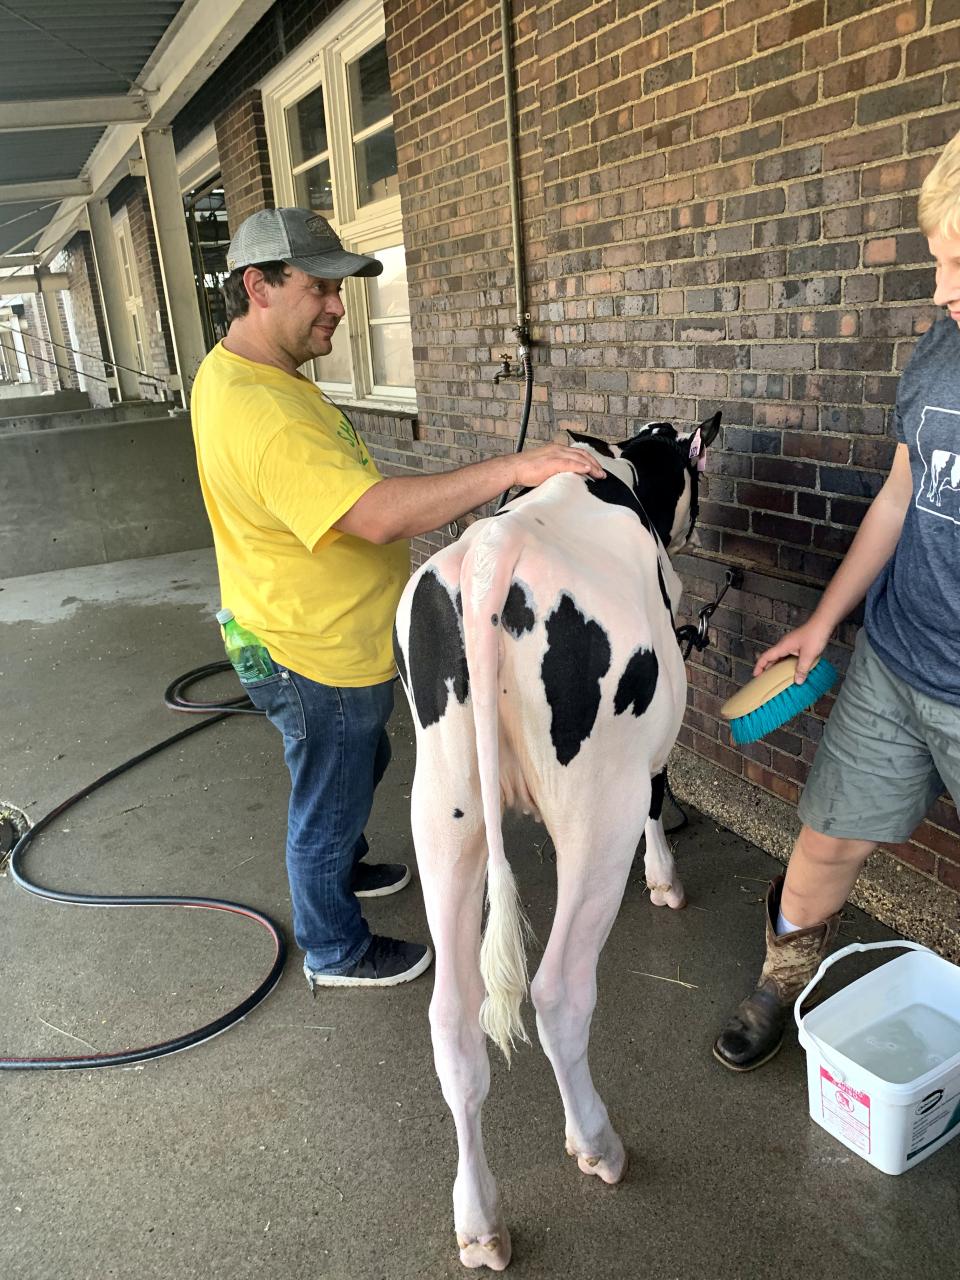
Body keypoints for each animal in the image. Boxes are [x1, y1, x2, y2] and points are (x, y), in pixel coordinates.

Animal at [391, 412, 721, 1269]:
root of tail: (488, 554)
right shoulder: (645, 760)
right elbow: (662, 796)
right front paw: (665, 878)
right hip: (596, 808)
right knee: (557, 992)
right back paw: (598, 1145)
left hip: (442, 808)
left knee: (453, 1018)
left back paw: (479, 1222)